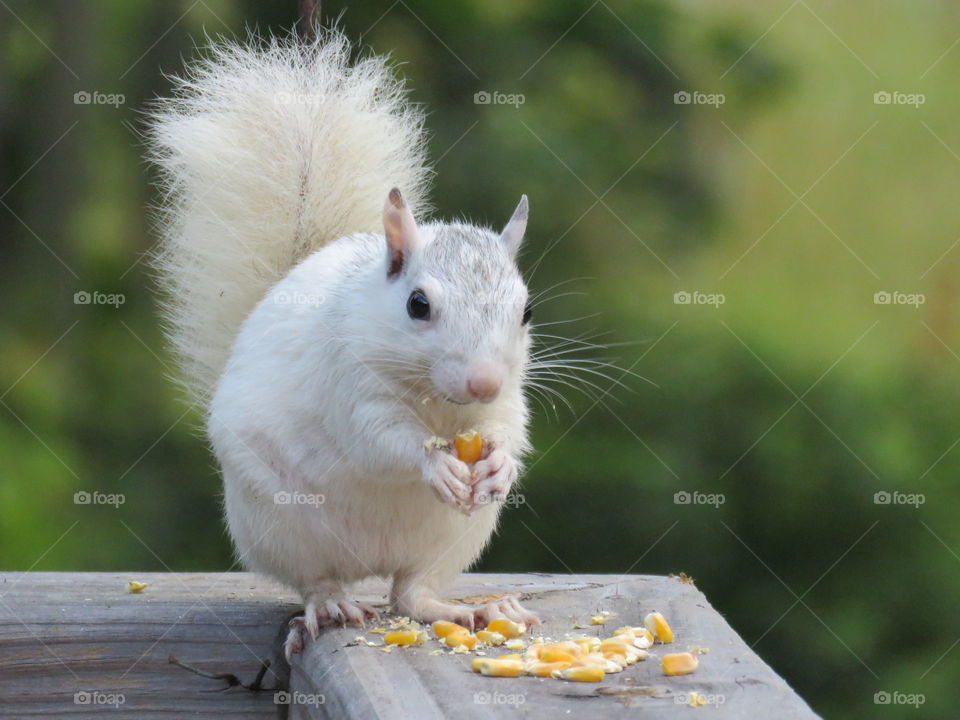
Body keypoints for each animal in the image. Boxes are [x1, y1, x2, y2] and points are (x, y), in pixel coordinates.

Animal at [147, 29, 540, 658]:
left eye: (526, 311)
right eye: (418, 304)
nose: (482, 381)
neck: (436, 401)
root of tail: (369, 563)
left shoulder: (507, 399)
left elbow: (507, 427)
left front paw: (498, 463)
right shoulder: (348, 384)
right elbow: (377, 439)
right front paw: (434, 465)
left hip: (452, 538)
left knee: (412, 595)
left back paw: (469, 609)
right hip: (284, 527)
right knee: (318, 580)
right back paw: (332, 604)